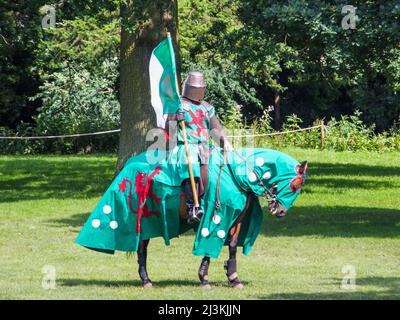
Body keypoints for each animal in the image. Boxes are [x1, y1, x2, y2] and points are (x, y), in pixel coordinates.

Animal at [76, 146, 306, 288]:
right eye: (295, 185)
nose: (281, 212)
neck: (237, 176)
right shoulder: (217, 218)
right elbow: (209, 247)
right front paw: (204, 279)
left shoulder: (236, 220)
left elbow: (232, 246)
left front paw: (233, 278)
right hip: (143, 219)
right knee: (141, 248)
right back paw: (146, 280)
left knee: (142, 247)